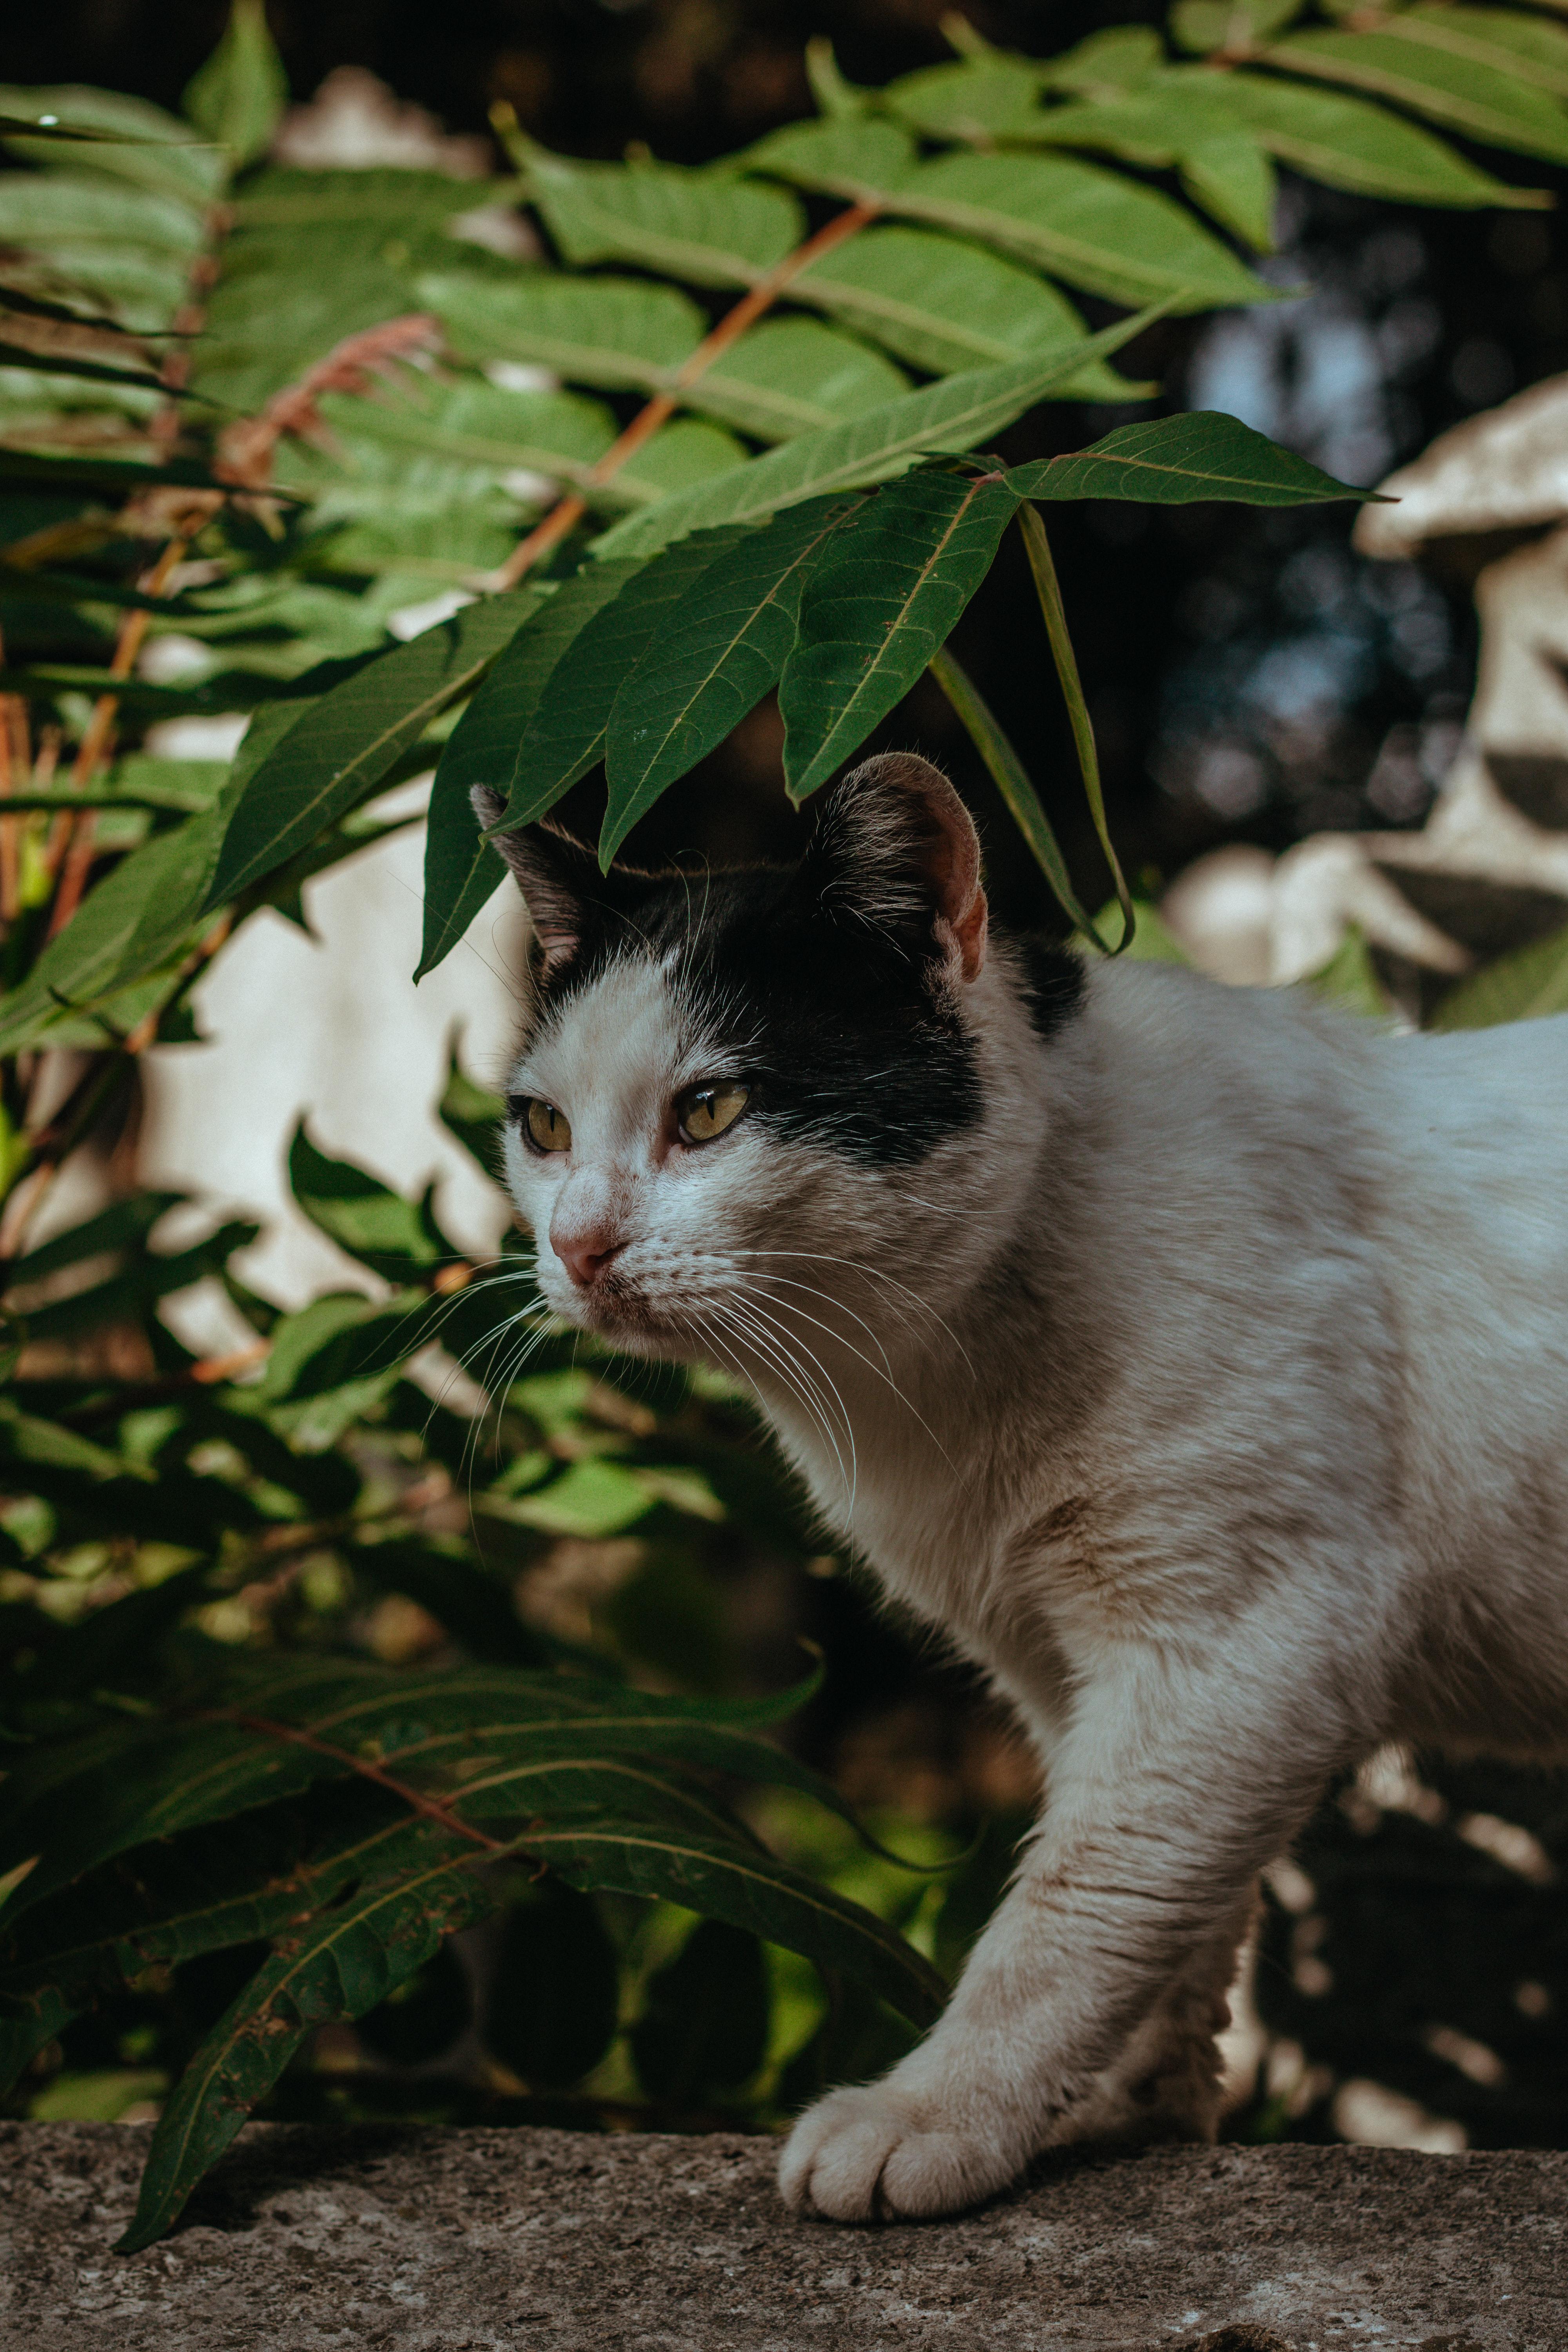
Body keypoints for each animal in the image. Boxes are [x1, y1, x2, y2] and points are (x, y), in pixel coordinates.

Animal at [472, 757, 1568, 2220]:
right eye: (541, 1127)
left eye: (709, 1111)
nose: (577, 1246)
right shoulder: (1069, 1676)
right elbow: (1175, 1918)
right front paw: (1127, 2110)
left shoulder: (1235, 1650)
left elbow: (1075, 1907)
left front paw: (937, 2109)